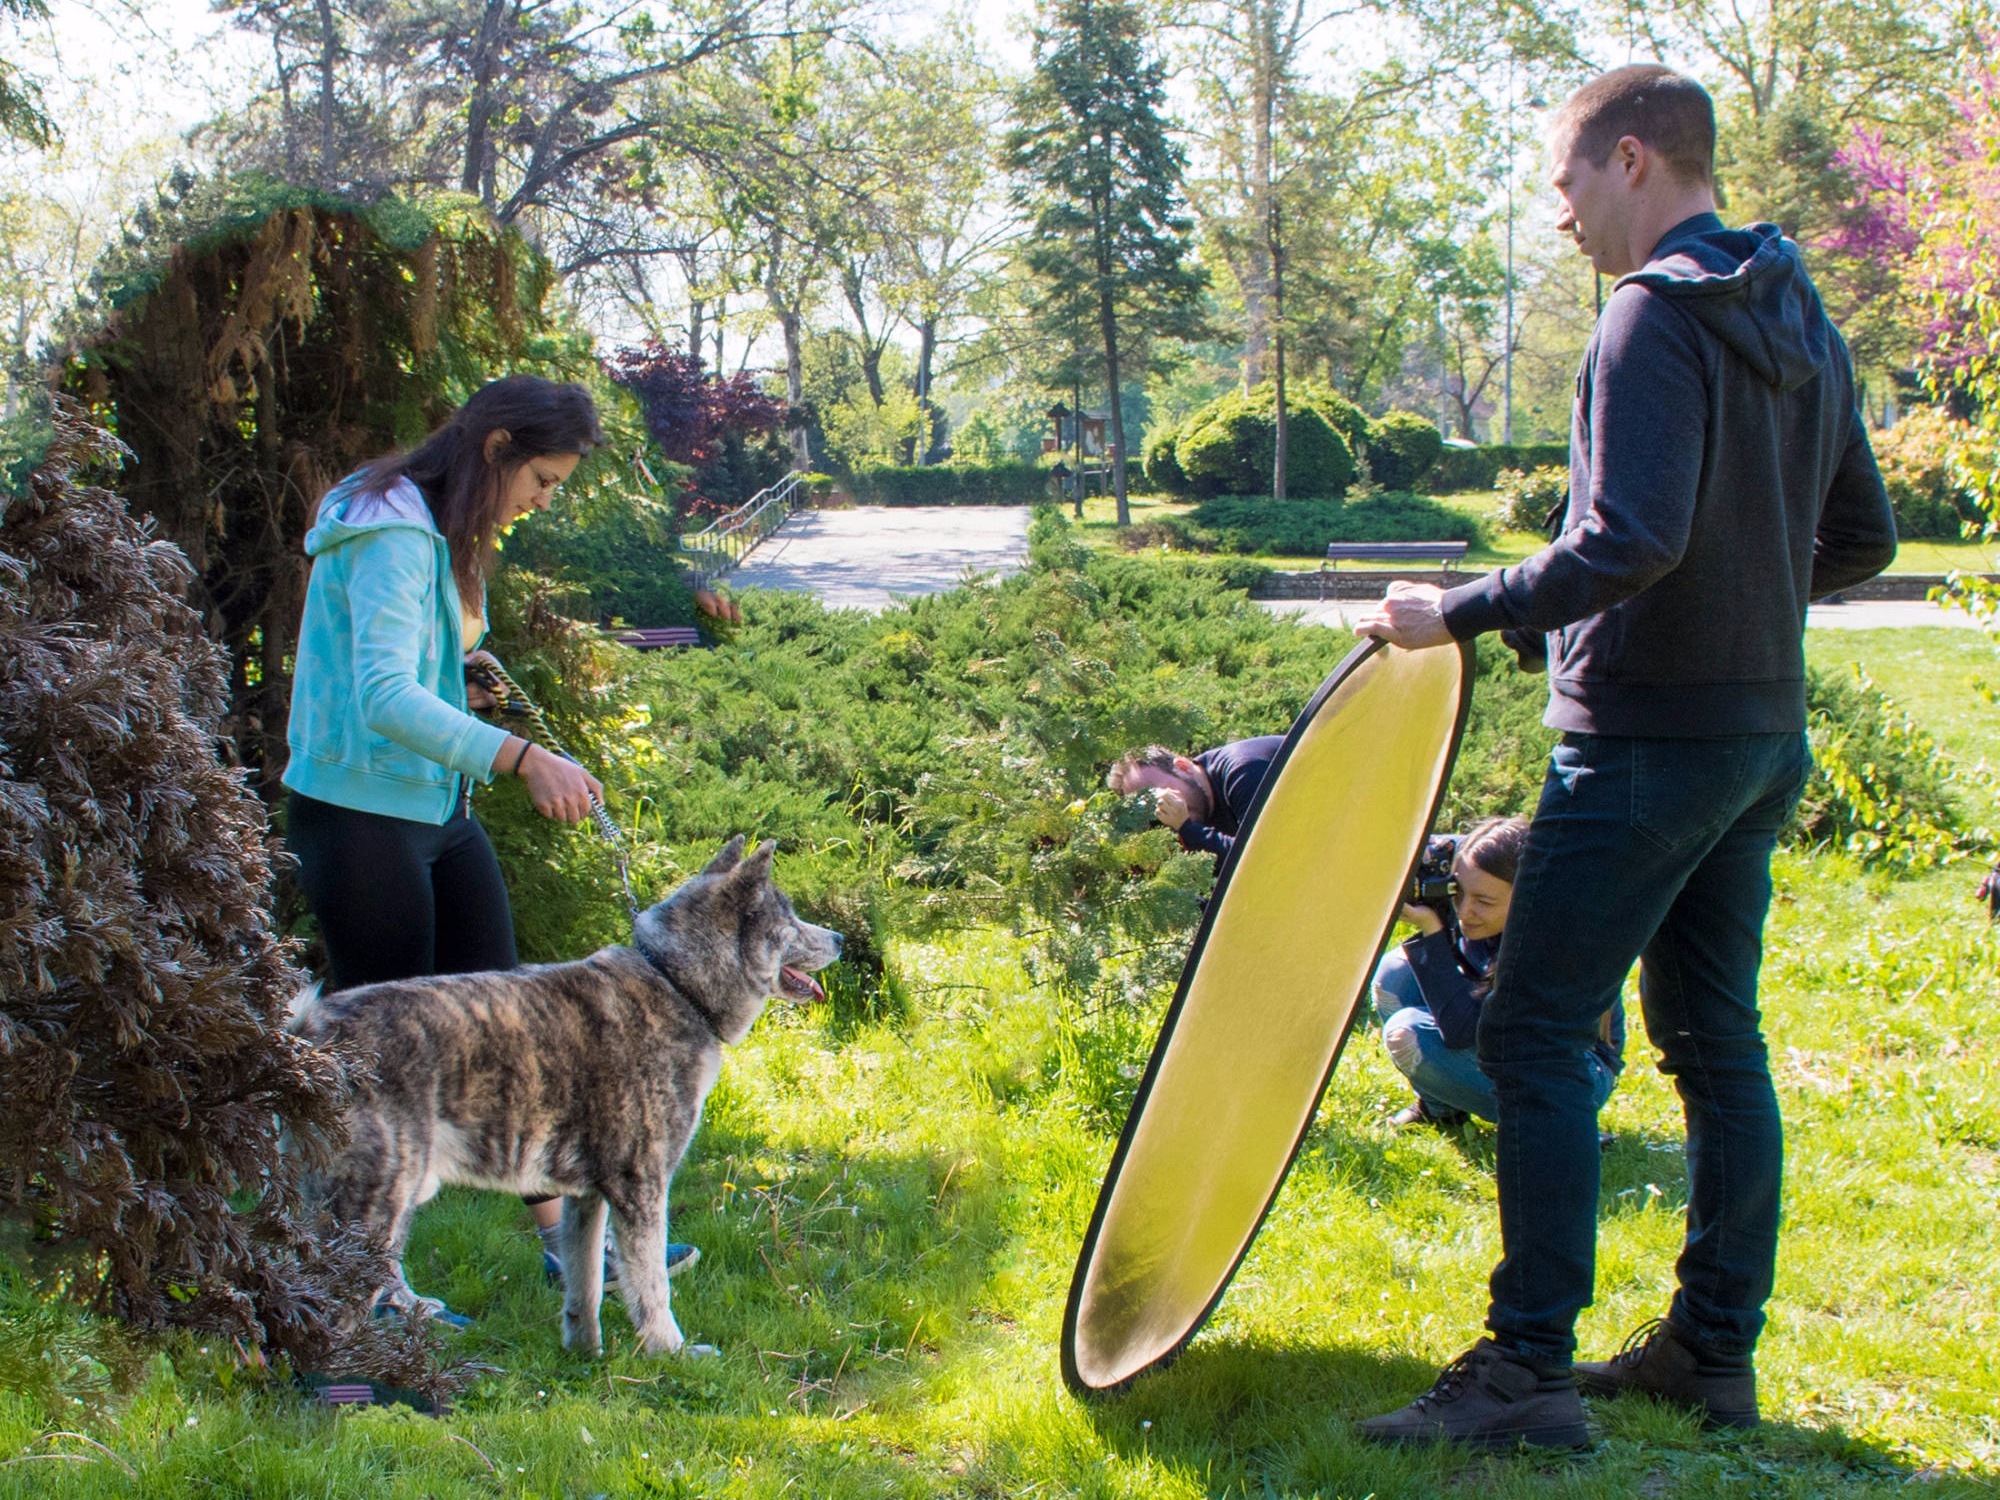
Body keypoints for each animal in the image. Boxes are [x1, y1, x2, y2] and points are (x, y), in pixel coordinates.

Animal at [290, 840, 836, 1360]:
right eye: (788, 919)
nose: (840, 939)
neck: (675, 983)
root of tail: (308, 1034)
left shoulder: (586, 1198)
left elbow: (585, 1284)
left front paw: (585, 1352)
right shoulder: (640, 1187)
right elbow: (651, 1285)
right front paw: (672, 1352)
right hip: (378, 1202)